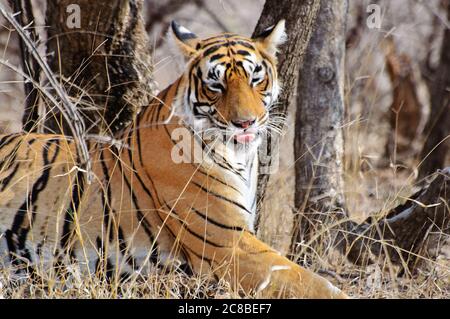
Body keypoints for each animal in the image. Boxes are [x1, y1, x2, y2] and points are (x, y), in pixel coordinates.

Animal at [0, 20, 348, 300]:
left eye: (255, 80)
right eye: (216, 85)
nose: (245, 123)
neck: (239, 156)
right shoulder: (229, 245)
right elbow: (313, 284)